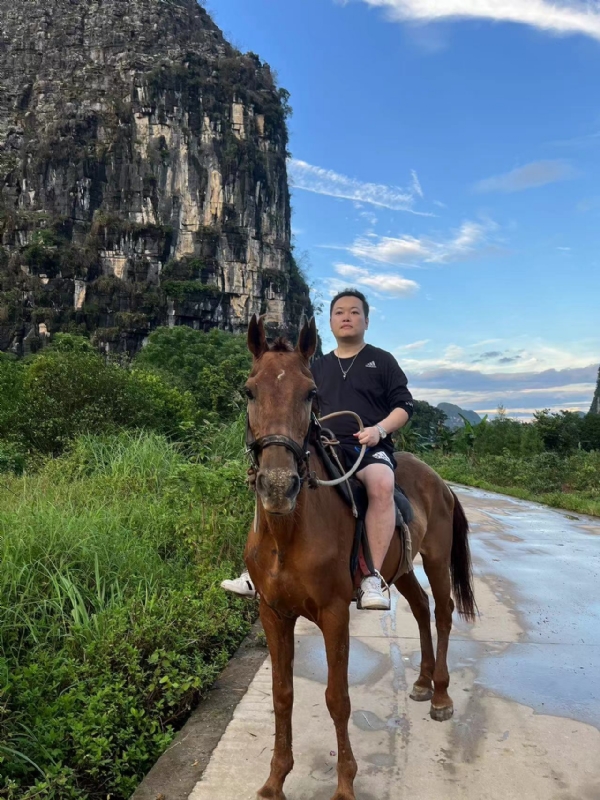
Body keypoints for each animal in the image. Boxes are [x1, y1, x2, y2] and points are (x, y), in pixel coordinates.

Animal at [243, 315, 477, 800]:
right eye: (249, 391)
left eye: (310, 393)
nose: (278, 486)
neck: (287, 533)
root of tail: (439, 481)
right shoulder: (272, 612)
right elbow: (281, 694)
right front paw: (275, 779)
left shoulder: (334, 614)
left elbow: (337, 698)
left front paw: (345, 784)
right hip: (399, 569)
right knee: (420, 607)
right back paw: (423, 681)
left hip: (437, 559)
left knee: (443, 611)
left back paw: (441, 695)